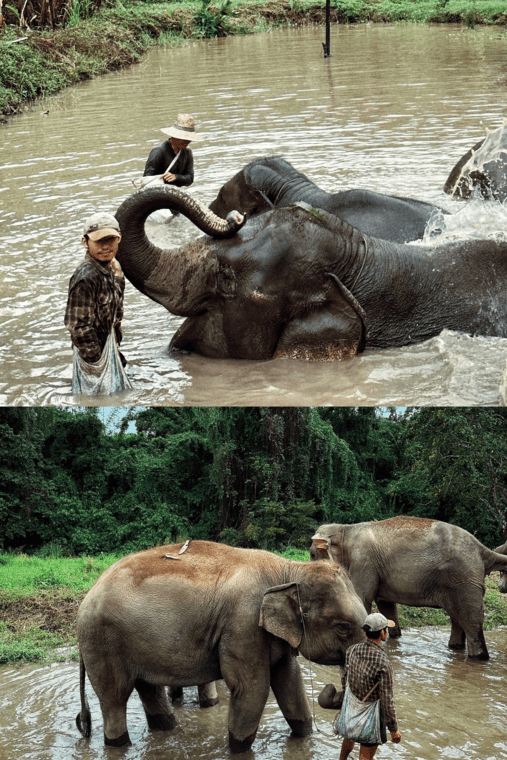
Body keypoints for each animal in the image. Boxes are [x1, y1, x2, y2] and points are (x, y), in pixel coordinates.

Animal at [75, 536, 368, 752]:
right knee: (115, 698)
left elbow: (289, 680)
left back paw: (167, 730)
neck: (289, 569)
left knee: (148, 688)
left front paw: (305, 740)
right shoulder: (243, 625)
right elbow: (252, 689)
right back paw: (119, 744)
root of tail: (88, 595)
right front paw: (238, 750)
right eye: (343, 628)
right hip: (102, 642)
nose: (333, 688)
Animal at [310, 516, 507, 660]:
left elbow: (362, 598)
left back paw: (478, 658)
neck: (345, 529)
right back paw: (455, 648)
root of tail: (481, 549)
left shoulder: (364, 561)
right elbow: (386, 606)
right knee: (457, 617)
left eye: (312, 555)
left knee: (470, 620)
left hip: (464, 578)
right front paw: (393, 638)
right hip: (458, 582)